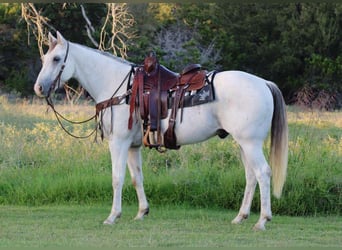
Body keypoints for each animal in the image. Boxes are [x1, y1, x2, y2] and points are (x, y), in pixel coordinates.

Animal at [34, 31, 286, 230]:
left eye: (57, 59)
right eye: (44, 58)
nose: (38, 88)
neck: (119, 87)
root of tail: (263, 83)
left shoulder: (118, 143)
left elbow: (117, 178)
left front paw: (113, 216)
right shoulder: (133, 146)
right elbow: (136, 178)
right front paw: (141, 212)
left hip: (250, 143)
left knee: (263, 173)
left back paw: (262, 220)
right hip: (243, 144)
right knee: (251, 176)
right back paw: (240, 217)